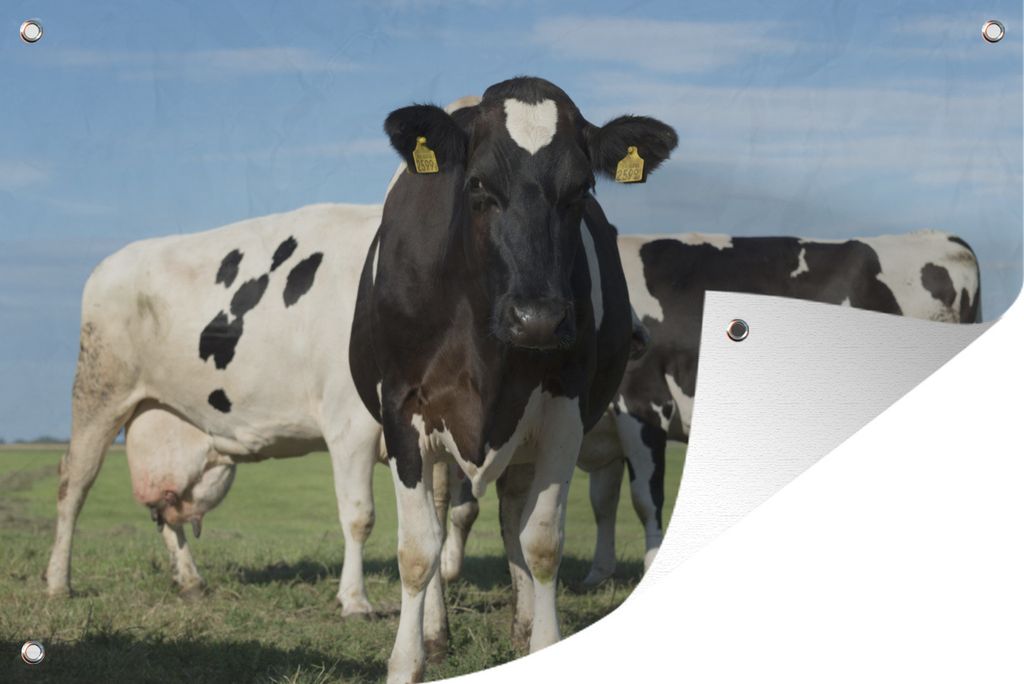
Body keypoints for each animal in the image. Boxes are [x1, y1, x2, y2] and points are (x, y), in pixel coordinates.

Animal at [44, 202, 386, 617]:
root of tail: (109, 263)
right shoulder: (351, 421)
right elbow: (359, 515)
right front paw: (355, 600)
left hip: (160, 419)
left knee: (161, 503)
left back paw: (190, 580)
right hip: (99, 391)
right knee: (74, 482)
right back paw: (58, 582)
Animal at [348, 76, 677, 682]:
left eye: (581, 188)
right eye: (477, 183)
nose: (538, 318)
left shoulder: (563, 411)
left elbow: (540, 541)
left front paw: (543, 640)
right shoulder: (401, 411)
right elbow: (418, 551)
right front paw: (407, 661)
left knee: (511, 517)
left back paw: (523, 624)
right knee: (440, 517)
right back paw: (436, 634)